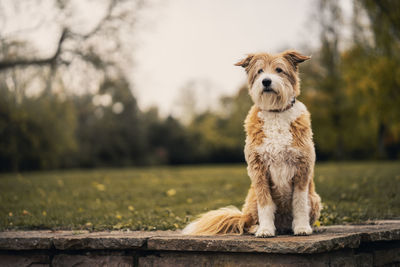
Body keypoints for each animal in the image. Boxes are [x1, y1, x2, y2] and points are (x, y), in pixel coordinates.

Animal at [183, 50, 324, 239]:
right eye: (260, 71)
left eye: (279, 70)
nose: (266, 81)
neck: (275, 113)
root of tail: (283, 226)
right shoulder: (259, 170)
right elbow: (265, 205)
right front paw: (265, 230)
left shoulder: (302, 168)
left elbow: (300, 203)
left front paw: (302, 227)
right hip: (252, 200)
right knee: (247, 222)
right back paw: (257, 227)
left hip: (314, 198)